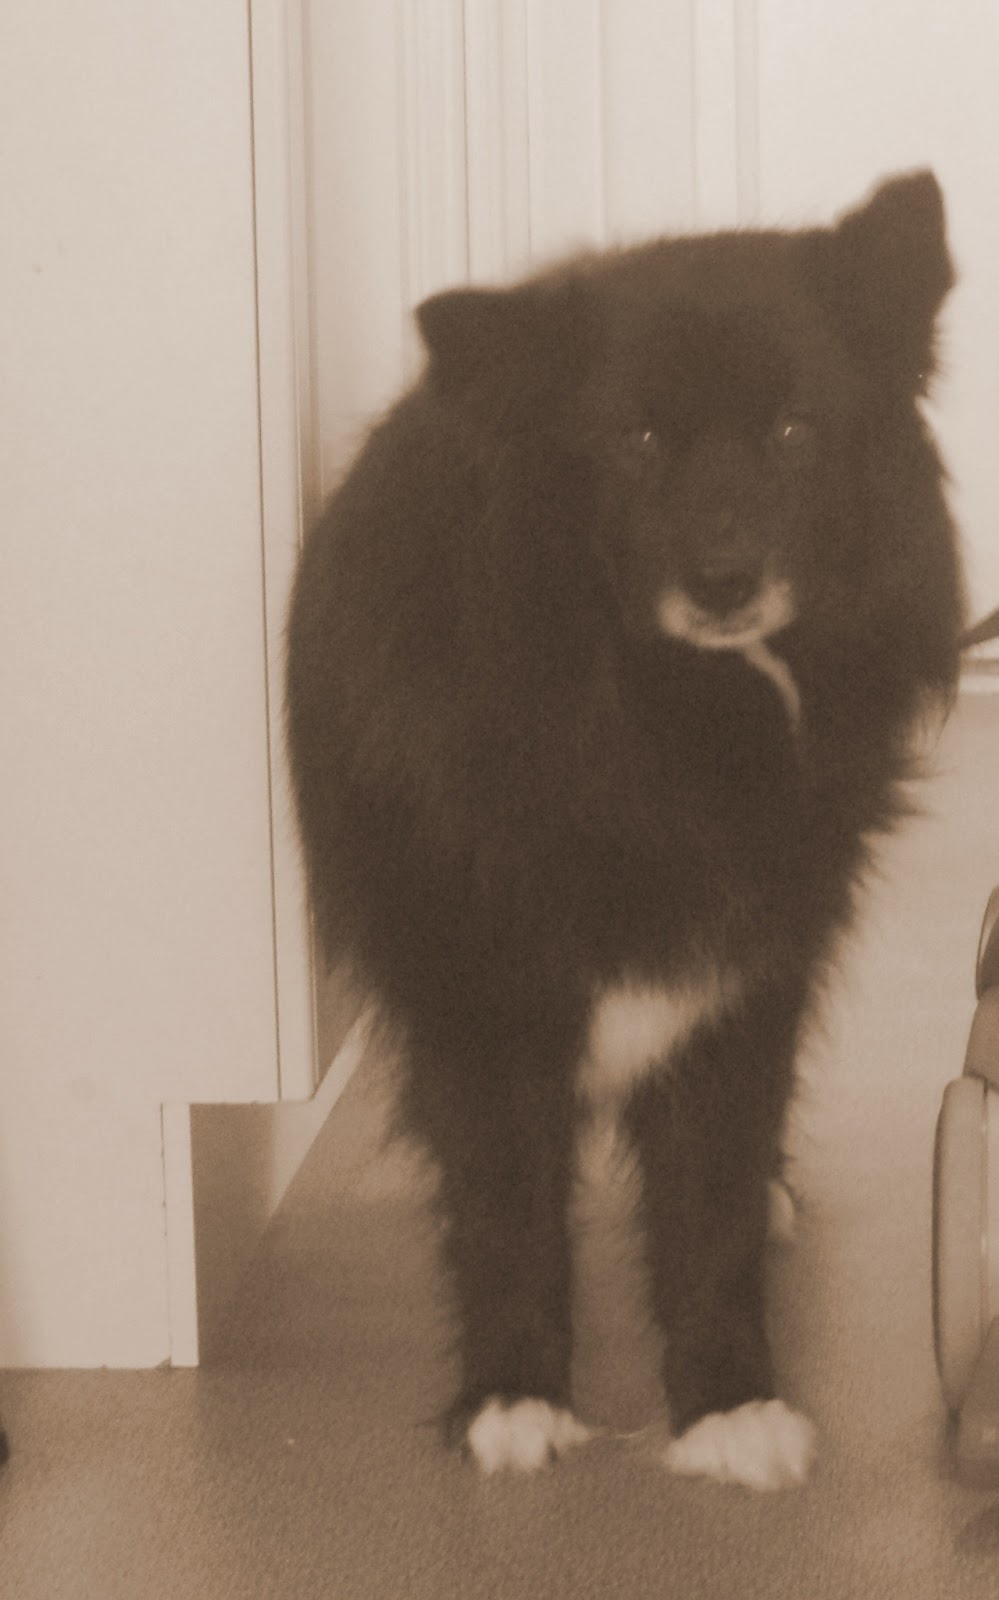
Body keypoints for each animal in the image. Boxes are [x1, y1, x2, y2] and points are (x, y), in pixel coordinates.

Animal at [286, 171, 964, 1489]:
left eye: (795, 432)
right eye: (637, 444)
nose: (725, 580)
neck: (673, 712)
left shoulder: (742, 978)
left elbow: (709, 1206)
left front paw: (728, 1406)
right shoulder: (477, 990)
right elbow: (504, 1201)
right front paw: (513, 1399)